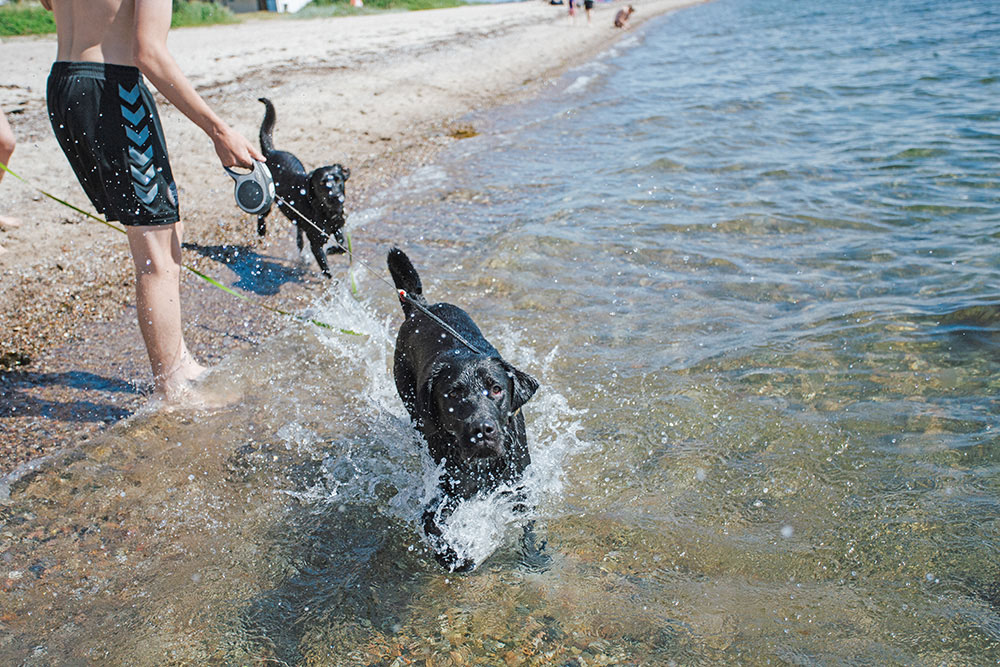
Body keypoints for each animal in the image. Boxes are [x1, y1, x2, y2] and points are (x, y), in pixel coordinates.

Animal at [258, 96, 352, 276]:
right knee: (261, 216)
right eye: (322, 183)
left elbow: (343, 246)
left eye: (338, 179)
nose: (336, 197)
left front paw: (332, 250)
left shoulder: (338, 227)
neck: (325, 212)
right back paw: (261, 232)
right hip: (267, 200)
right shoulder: (315, 244)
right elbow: (327, 271)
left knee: (299, 236)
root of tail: (270, 152)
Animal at [390, 248, 548, 572]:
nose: (482, 430)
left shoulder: (519, 486)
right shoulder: (448, 491)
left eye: (497, 389)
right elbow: (431, 524)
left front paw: (534, 557)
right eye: (453, 393)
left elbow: (527, 523)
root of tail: (419, 307)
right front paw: (455, 557)